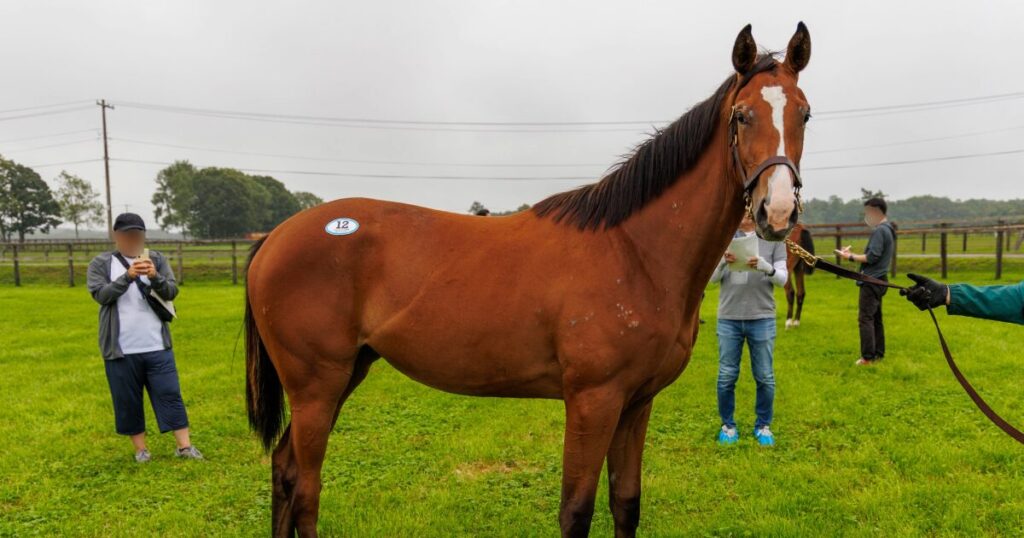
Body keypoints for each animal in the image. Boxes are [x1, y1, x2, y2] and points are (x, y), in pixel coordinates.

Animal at [244, 22, 812, 538]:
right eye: (742, 115)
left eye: (803, 113)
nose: (777, 211)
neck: (634, 251)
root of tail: (275, 238)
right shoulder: (593, 401)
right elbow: (576, 511)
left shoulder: (636, 404)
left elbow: (626, 503)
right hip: (318, 386)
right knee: (307, 488)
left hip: (346, 375)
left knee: (285, 470)